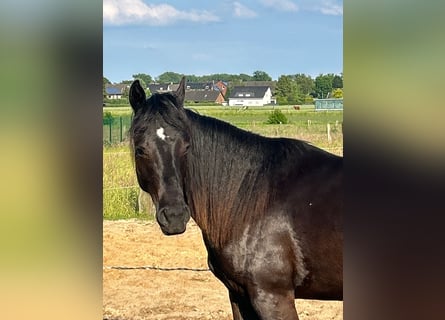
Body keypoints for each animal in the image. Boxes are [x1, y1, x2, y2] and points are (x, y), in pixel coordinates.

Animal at [128, 78, 344, 320]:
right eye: (140, 150)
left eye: (186, 147)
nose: (174, 217)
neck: (254, 202)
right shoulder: (238, 295)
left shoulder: (273, 297)